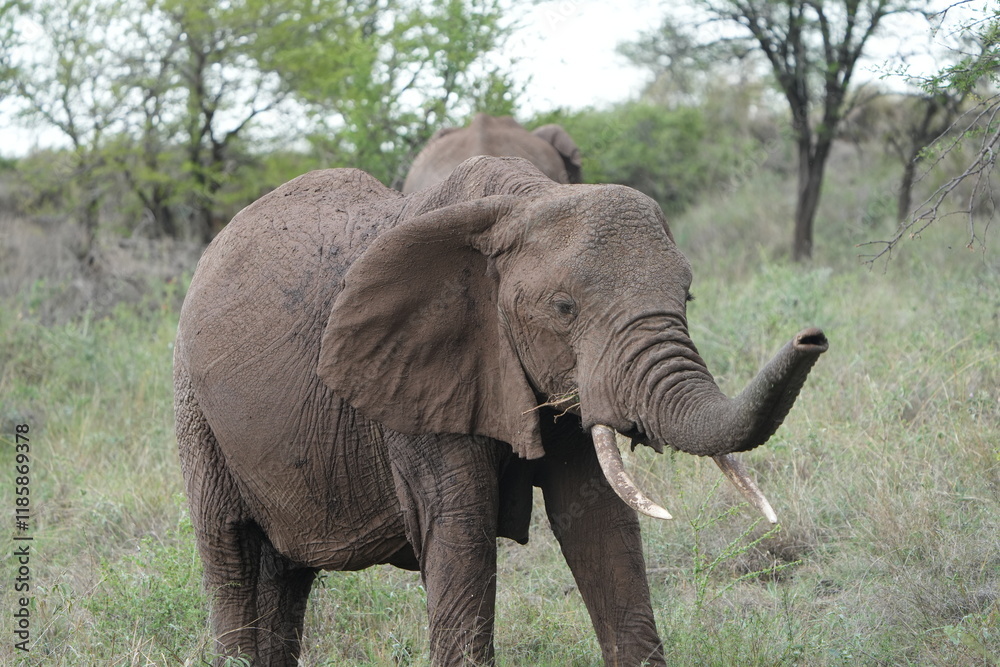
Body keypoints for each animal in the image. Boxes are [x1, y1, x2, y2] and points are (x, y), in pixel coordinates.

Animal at [173, 156, 828, 666]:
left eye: (687, 295)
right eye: (564, 308)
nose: (812, 337)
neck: (523, 201)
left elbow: (598, 522)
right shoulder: (420, 386)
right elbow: (460, 532)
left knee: (287, 576)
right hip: (192, 404)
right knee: (230, 552)